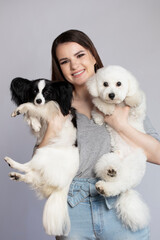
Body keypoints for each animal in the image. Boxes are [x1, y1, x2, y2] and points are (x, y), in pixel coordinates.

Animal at [4, 77, 79, 236]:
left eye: (47, 93)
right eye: (34, 91)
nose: (38, 100)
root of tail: (65, 183)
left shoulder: (50, 109)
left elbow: (32, 107)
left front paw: (20, 109)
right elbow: (33, 116)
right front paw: (35, 123)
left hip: (41, 153)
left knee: (27, 167)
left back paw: (11, 163)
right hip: (41, 168)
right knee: (31, 176)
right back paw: (16, 175)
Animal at [86, 65, 150, 231]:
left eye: (119, 84)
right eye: (105, 84)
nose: (111, 94)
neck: (118, 104)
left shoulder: (137, 112)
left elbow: (136, 99)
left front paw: (131, 99)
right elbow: (97, 105)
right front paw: (104, 109)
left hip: (133, 166)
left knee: (120, 184)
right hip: (108, 158)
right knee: (110, 176)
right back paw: (108, 176)